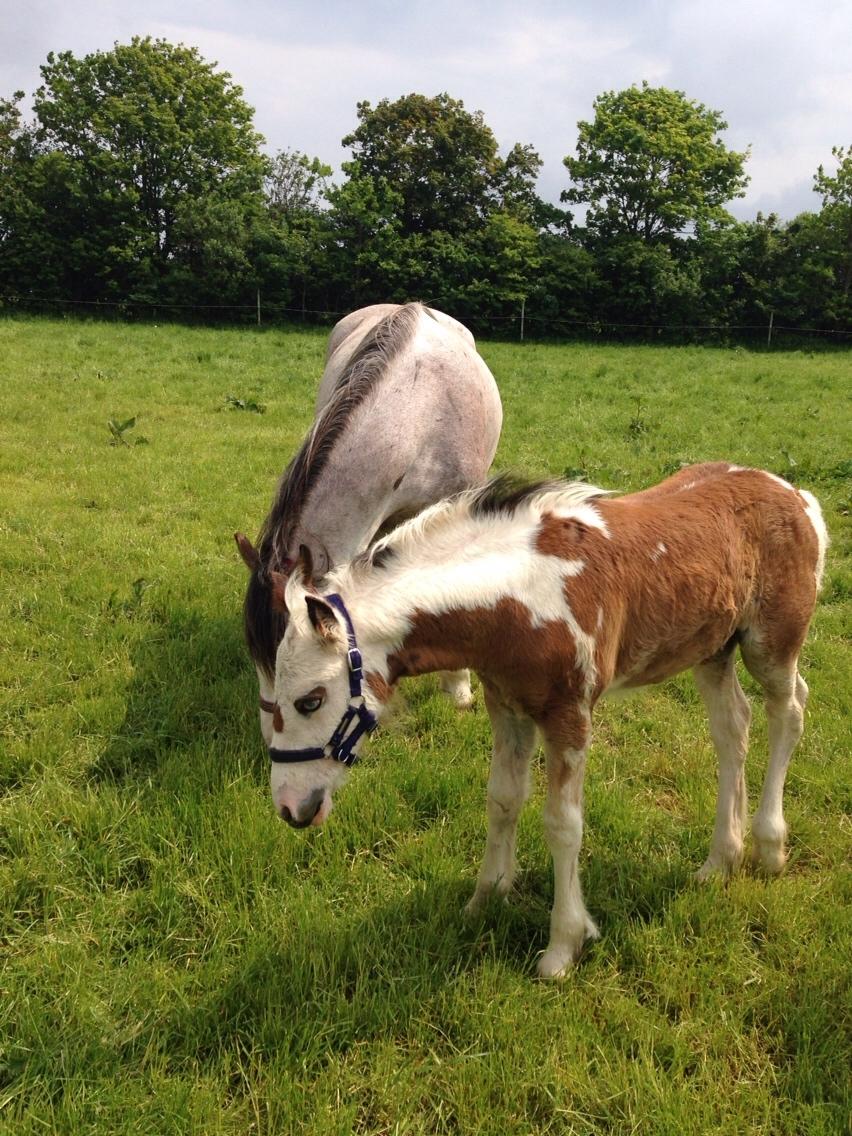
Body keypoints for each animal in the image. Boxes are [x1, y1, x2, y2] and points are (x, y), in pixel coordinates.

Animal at [265, 461, 827, 976]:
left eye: (310, 700)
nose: (291, 808)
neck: (520, 599)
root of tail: (794, 494)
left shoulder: (569, 715)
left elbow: (563, 824)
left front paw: (563, 946)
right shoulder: (507, 705)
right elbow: (502, 799)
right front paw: (486, 897)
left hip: (770, 645)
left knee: (789, 710)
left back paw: (770, 847)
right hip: (712, 651)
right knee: (734, 728)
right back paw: (719, 861)